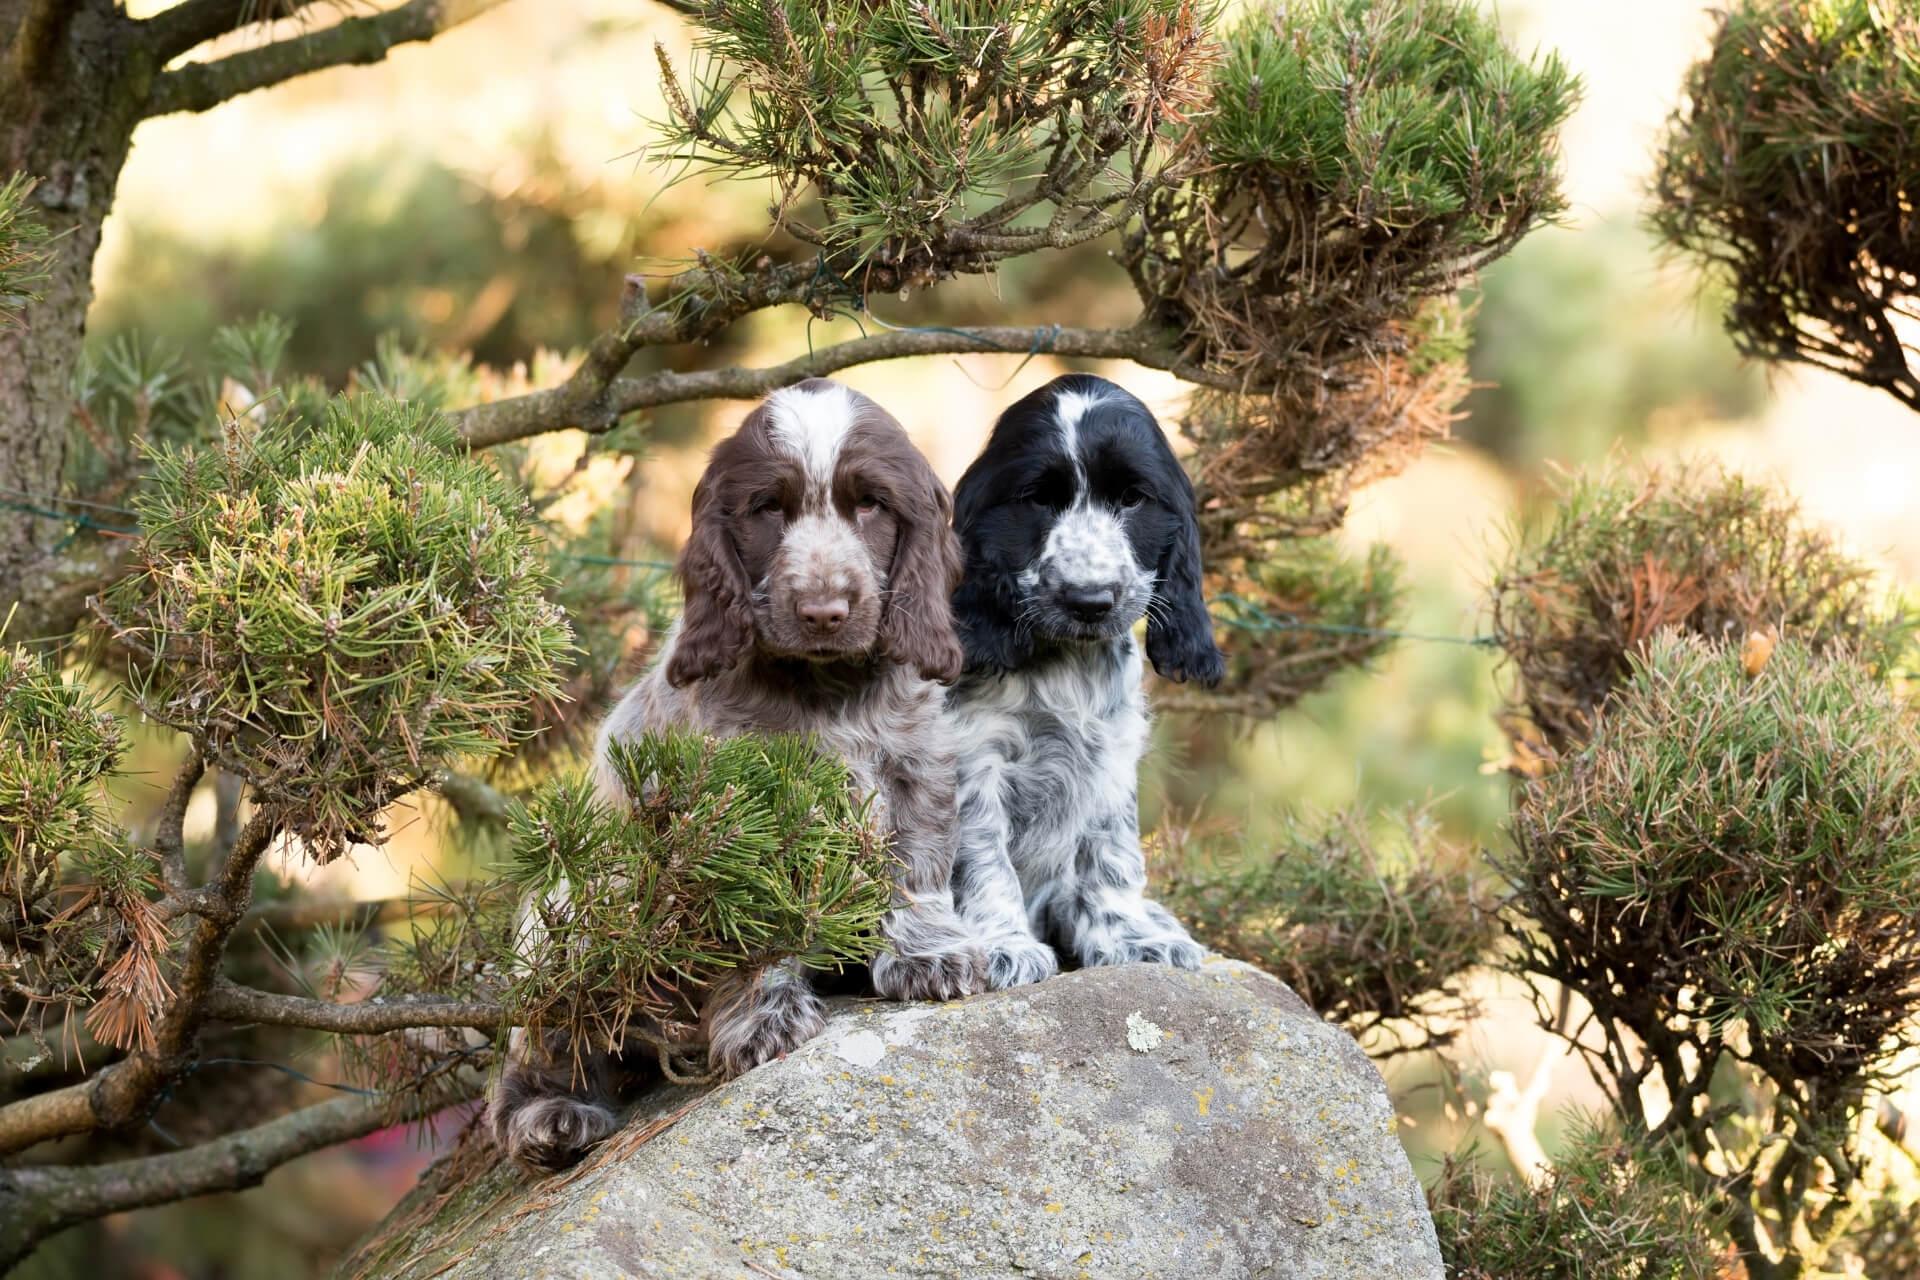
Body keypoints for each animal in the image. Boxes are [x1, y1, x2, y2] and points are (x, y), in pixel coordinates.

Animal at [487, 378, 983, 1174]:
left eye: (871, 504)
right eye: (768, 509)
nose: (824, 612)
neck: (824, 686)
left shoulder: (915, 767)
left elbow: (917, 873)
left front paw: (929, 957)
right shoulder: (729, 821)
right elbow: (748, 930)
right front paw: (763, 1018)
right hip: (569, 921)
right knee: (539, 1051)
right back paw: (550, 1116)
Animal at [948, 372, 1228, 990]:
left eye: (1133, 498)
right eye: (1038, 499)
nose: (1090, 601)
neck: (1065, 665)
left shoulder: (1112, 760)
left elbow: (1111, 856)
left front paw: (1129, 938)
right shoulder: (971, 760)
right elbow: (981, 854)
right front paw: (1001, 946)